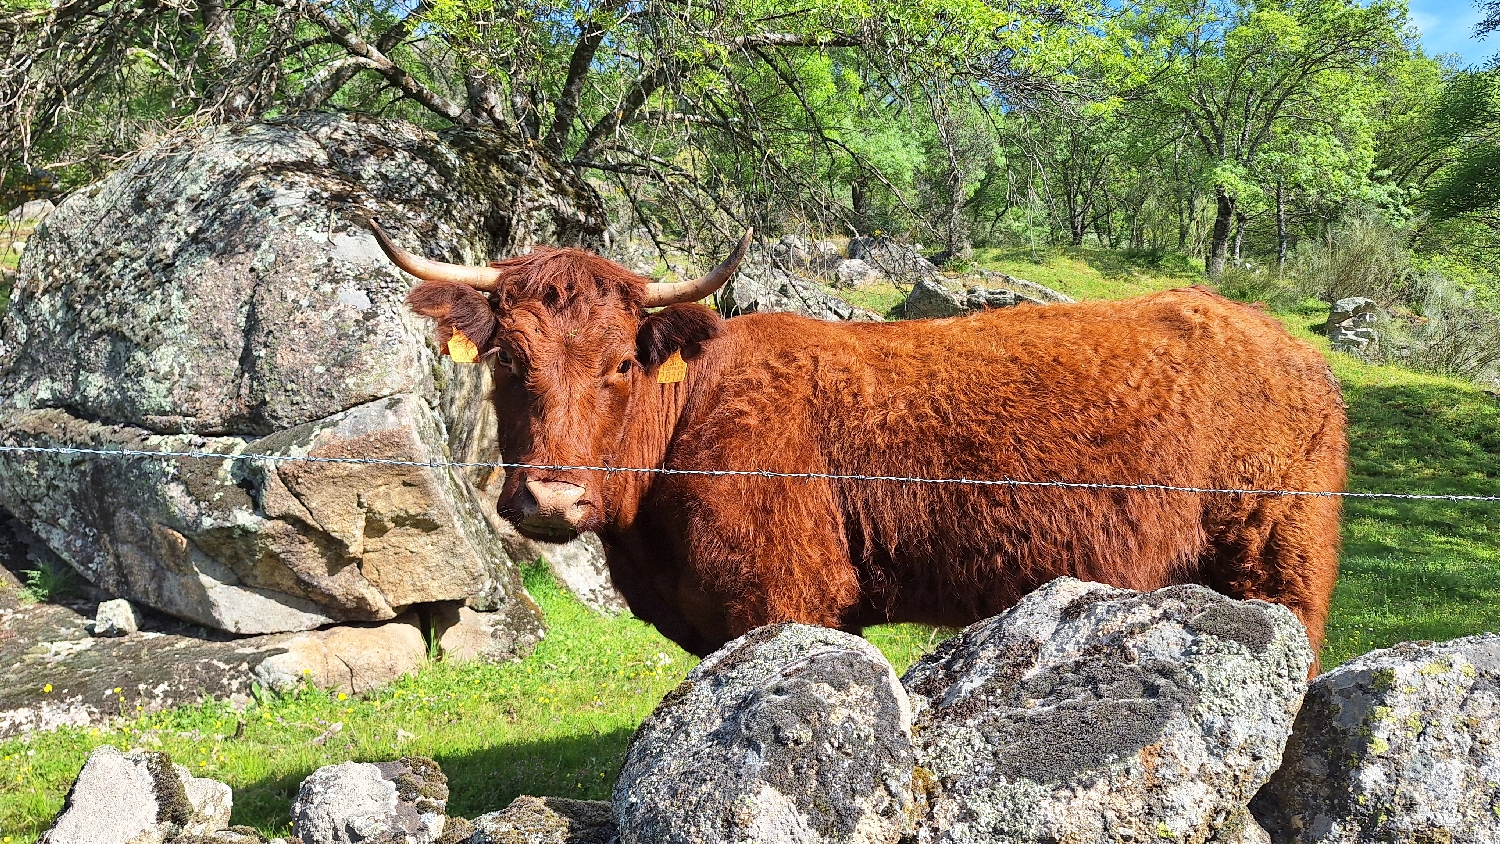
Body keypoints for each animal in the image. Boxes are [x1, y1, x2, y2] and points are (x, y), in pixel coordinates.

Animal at [372, 223, 1350, 668]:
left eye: (619, 363)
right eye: (508, 360)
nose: (548, 499)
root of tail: (1279, 339)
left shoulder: (782, 595)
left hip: (1277, 564)